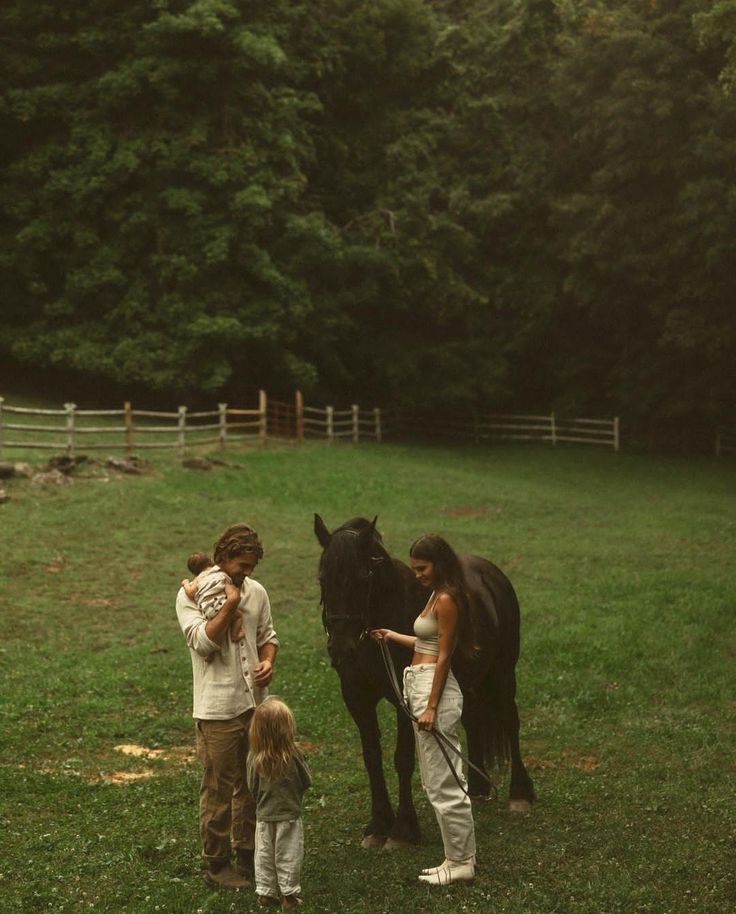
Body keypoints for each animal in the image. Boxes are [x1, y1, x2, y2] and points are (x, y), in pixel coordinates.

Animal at [314, 512, 536, 848]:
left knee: (511, 720)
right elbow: (371, 757)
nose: (341, 648)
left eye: (363, 576)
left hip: (503, 672)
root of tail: (492, 574)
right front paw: (378, 824)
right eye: (323, 578)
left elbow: (403, 759)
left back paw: (520, 793)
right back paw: (477, 787)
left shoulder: (404, 698)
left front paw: (403, 829)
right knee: (473, 720)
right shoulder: (356, 697)